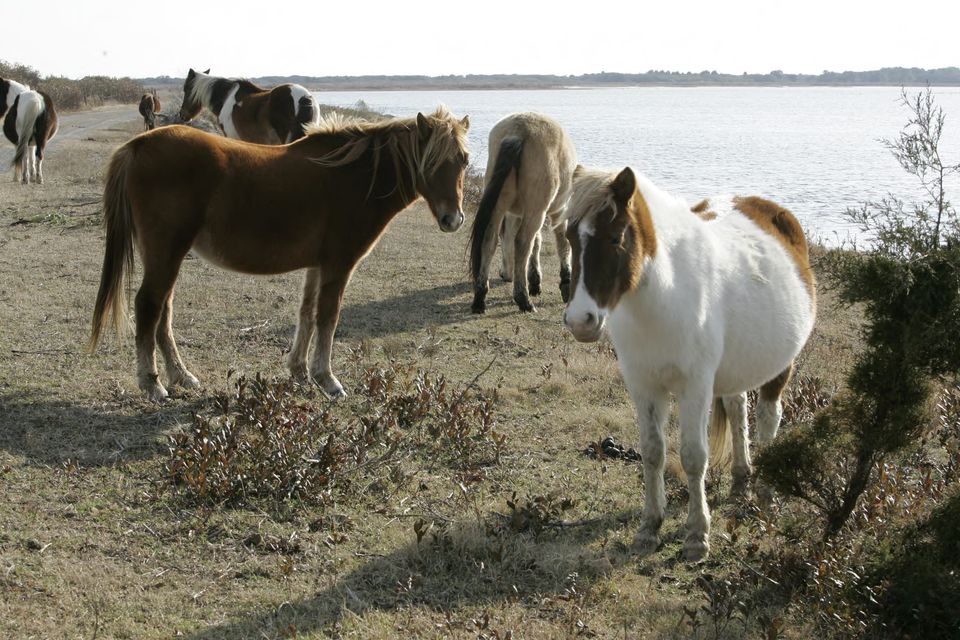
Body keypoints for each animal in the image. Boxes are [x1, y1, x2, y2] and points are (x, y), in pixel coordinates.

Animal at [89, 107, 470, 402]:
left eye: (464, 161)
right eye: (431, 161)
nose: (453, 219)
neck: (353, 176)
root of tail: (138, 146)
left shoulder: (318, 264)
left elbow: (307, 313)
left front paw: (300, 371)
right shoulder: (339, 264)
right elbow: (328, 317)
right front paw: (327, 379)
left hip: (166, 255)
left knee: (163, 313)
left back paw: (183, 376)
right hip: (166, 252)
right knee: (149, 307)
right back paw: (152, 384)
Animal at [469, 112, 577, 313]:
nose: (504, 274)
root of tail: (517, 133)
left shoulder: (516, 213)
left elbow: (536, 242)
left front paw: (535, 280)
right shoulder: (559, 211)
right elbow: (562, 243)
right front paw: (565, 282)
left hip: (500, 205)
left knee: (489, 240)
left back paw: (480, 298)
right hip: (537, 210)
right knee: (522, 243)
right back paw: (523, 299)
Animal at [562, 166, 816, 561]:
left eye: (616, 237)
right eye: (570, 236)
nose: (580, 321)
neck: (664, 297)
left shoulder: (694, 387)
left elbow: (694, 457)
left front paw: (697, 535)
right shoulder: (644, 386)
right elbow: (653, 452)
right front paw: (649, 528)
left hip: (780, 368)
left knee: (767, 418)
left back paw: (766, 492)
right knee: (738, 408)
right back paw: (742, 480)